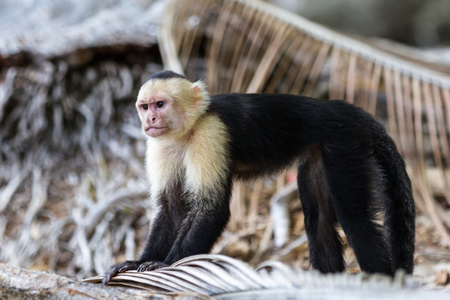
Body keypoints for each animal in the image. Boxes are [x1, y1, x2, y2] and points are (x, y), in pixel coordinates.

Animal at [102, 69, 414, 284]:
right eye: (144, 106)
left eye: (160, 105)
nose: (149, 120)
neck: (188, 129)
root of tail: (339, 107)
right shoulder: (160, 145)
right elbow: (171, 209)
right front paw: (138, 262)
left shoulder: (210, 133)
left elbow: (211, 210)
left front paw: (166, 265)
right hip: (320, 149)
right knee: (319, 222)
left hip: (344, 142)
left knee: (356, 220)